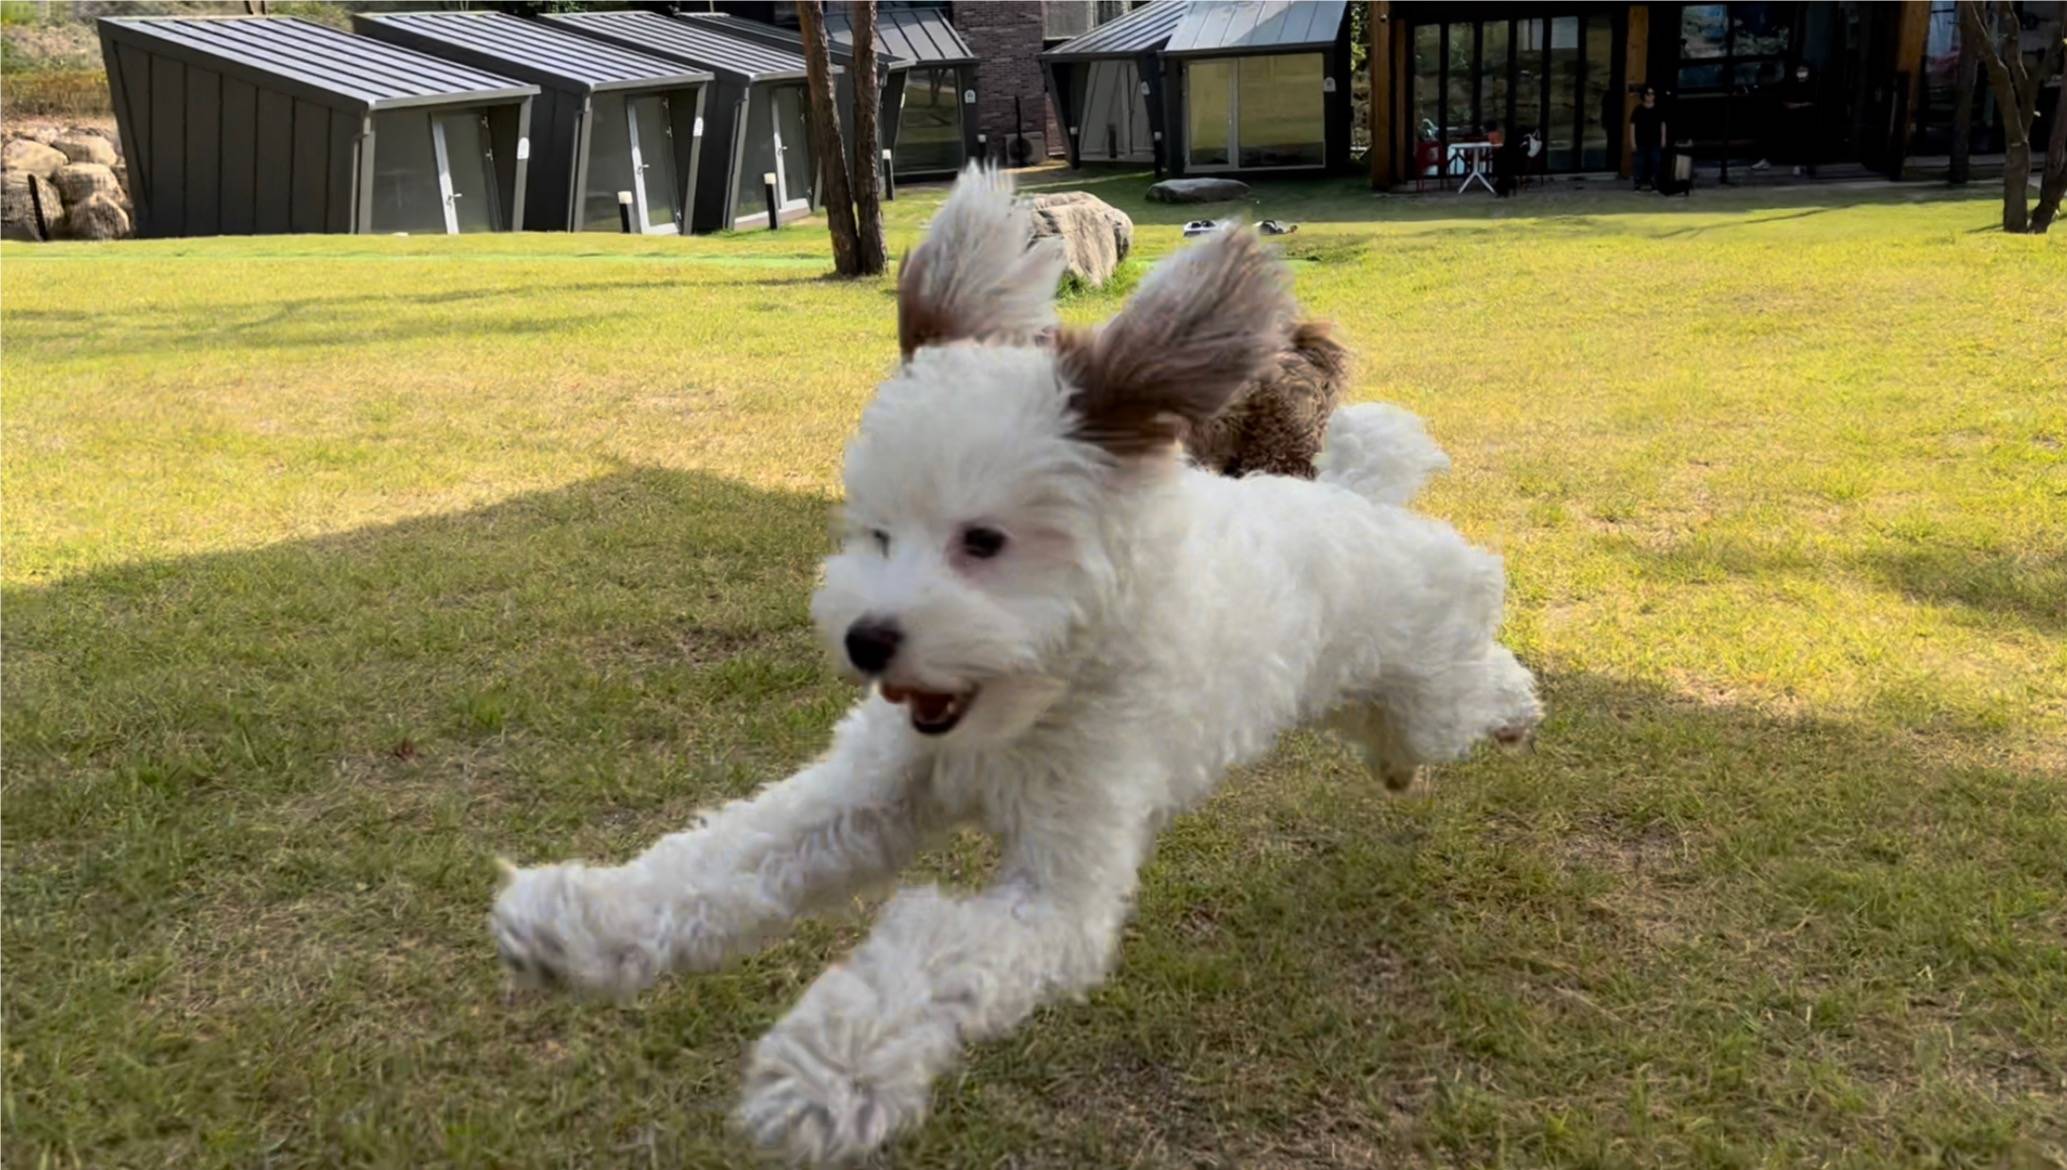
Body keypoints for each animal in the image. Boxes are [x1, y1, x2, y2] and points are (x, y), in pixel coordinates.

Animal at [491, 169, 1546, 1165]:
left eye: (983, 541)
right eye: (877, 533)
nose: (866, 640)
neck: (1019, 710)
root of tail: (1353, 500)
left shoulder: (1059, 891)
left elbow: (935, 949)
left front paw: (826, 1073)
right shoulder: (872, 790)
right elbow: (732, 855)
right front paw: (582, 922)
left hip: (1428, 671)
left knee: (1473, 664)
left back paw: (1515, 707)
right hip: (1350, 695)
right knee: (1390, 729)